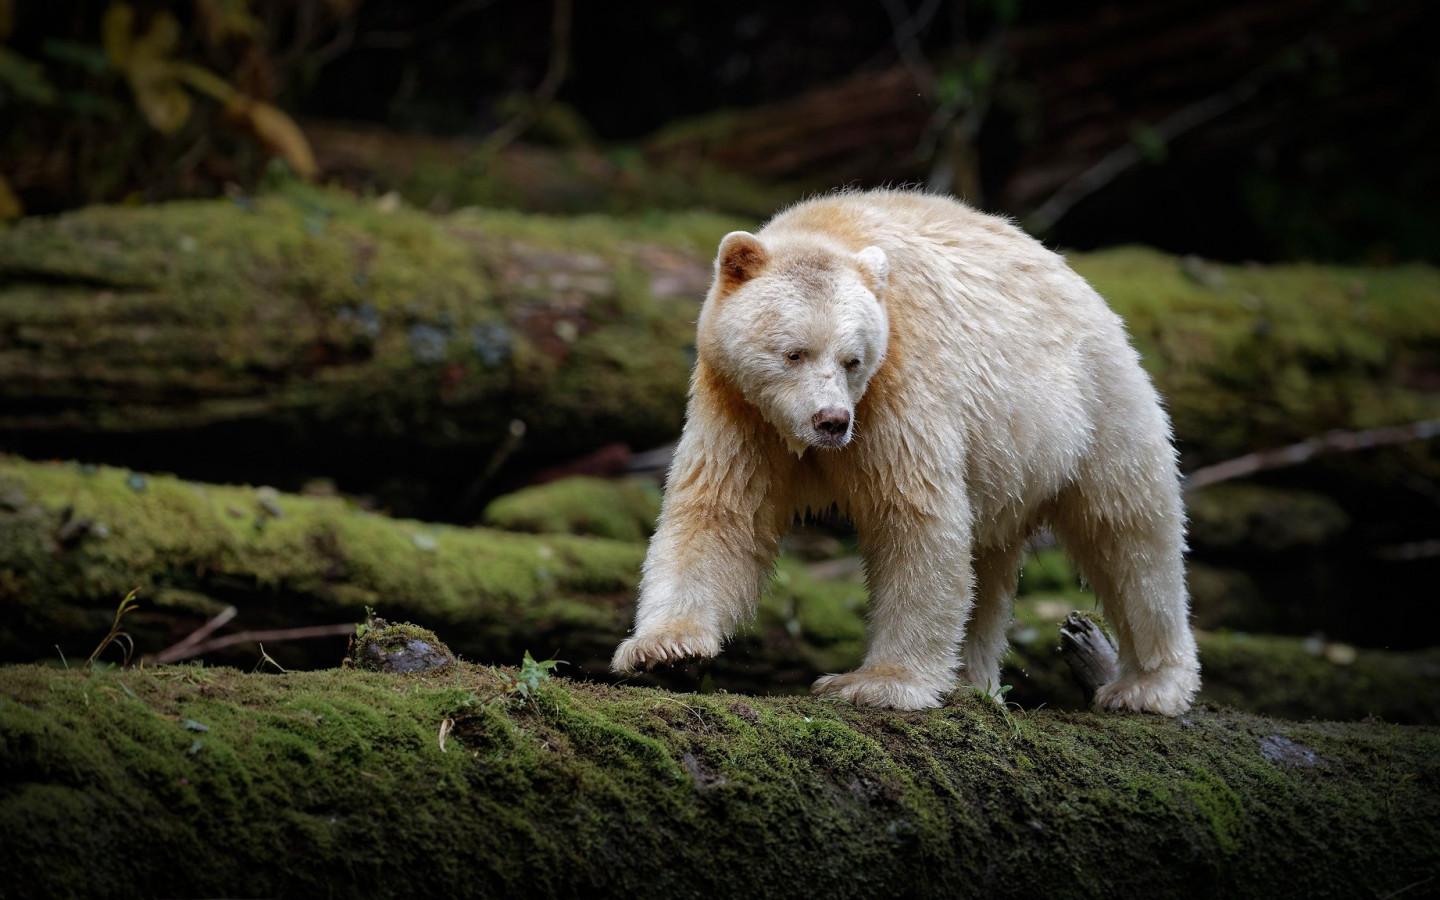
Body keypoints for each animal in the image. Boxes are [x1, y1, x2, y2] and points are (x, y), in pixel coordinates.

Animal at [611, 188, 1200, 715]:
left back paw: (1147, 685)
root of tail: (1086, 287)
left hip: (1094, 404)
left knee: (1130, 535)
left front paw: (877, 682)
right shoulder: (737, 405)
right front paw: (665, 649)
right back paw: (970, 682)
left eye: (851, 359)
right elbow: (719, 510)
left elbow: (914, 517)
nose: (831, 422)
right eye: (794, 353)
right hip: (1007, 462)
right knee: (990, 566)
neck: (832, 229)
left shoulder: (898, 381)